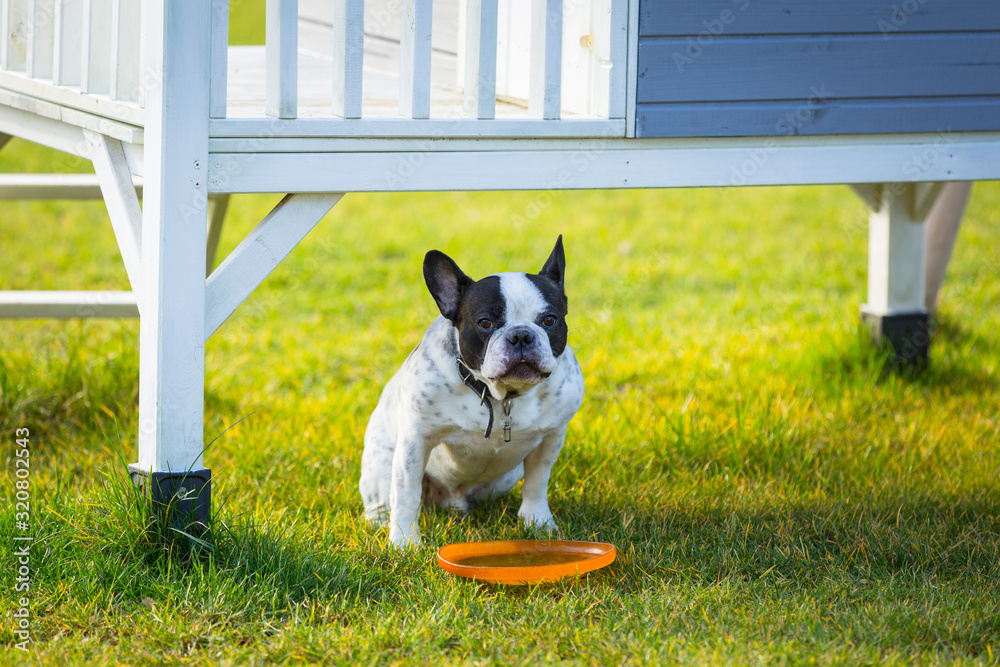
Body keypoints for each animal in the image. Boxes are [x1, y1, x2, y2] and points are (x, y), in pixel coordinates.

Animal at [360, 239, 584, 548]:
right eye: (485, 323)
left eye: (550, 320)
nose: (521, 335)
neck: (500, 396)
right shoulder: (416, 441)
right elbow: (406, 493)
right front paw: (405, 542)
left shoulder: (550, 437)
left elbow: (537, 482)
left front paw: (538, 522)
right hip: (380, 465)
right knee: (385, 499)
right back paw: (381, 523)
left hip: (505, 477)